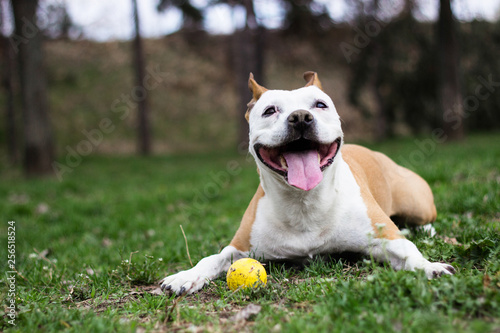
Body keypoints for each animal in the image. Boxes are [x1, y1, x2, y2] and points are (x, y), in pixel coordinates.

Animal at [161, 71, 458, 294]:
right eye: (270, 110)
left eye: (320, 104)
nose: (301, 117)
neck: (304, 202)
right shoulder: (240, 247)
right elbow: (213, 257)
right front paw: (185, 276)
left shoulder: (386, 238)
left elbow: (408, 252)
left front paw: (431, 266)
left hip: (416, 203)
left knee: (425, 222)